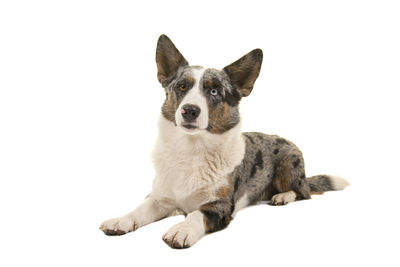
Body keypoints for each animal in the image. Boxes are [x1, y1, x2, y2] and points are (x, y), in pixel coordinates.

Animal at [98, 35, 348, 249]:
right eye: (181, 86)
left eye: (214, 91)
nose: (189, 111)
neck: (192, 150)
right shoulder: (160, 198)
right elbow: (139, 209)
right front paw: (121, 220)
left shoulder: (220, 206)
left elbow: (197, 214)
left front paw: (181, 229)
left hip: (289, 164)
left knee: (302, 191)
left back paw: (283, 196)